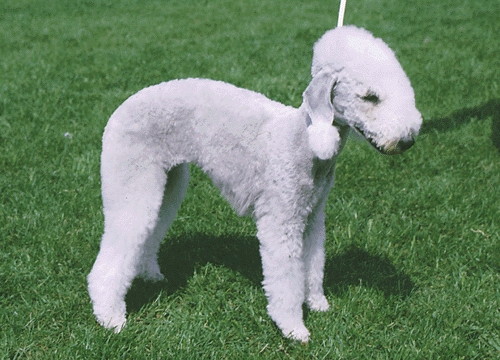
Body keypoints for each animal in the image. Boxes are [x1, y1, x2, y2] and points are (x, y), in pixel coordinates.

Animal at [89, 26, 422, 342]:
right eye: (370, 97)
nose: (407, 140)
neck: (304, 141)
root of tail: (121, 108)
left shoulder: (313, 217)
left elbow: (313, 264)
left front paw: (317, 303)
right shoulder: (281, 220)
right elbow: (285, 279)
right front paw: (293, 328)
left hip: (168, 182)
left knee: (150, 231)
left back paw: (150, 275)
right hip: (132, 178)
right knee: (116, 251)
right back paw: (111, 317)